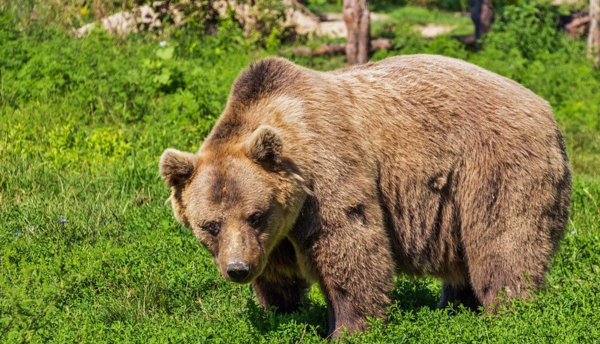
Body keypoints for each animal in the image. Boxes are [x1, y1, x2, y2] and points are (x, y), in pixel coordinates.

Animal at [159, 55, 572, 338]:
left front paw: (348, 328)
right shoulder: (275, 235)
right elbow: (278, 276)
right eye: (210, 225)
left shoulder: (328, 176)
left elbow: (351, 248)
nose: (238, 269)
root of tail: (546, 108)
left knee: (504, 243)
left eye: (255, 214)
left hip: (494, 167)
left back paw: (507, 313)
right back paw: (454, 308)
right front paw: (282, 312)